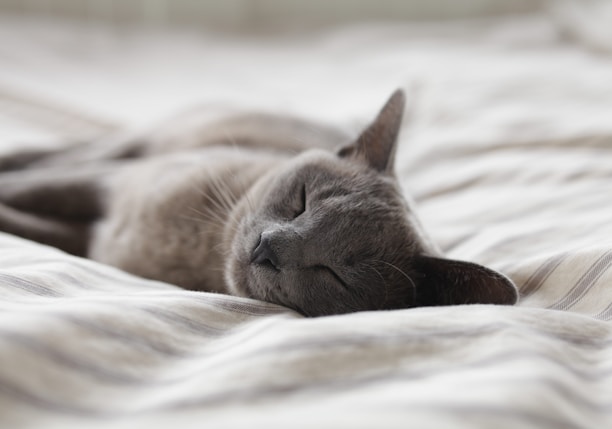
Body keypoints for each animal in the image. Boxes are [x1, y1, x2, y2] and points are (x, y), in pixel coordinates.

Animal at [0, 89, 520, 314]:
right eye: (301, 201)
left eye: (334, 274)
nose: (268, 248)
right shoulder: (107, 184)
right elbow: (29, 190)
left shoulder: (90, 239)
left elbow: (30, 225)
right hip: (134, 146)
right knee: (63, 153)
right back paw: (14, 154)